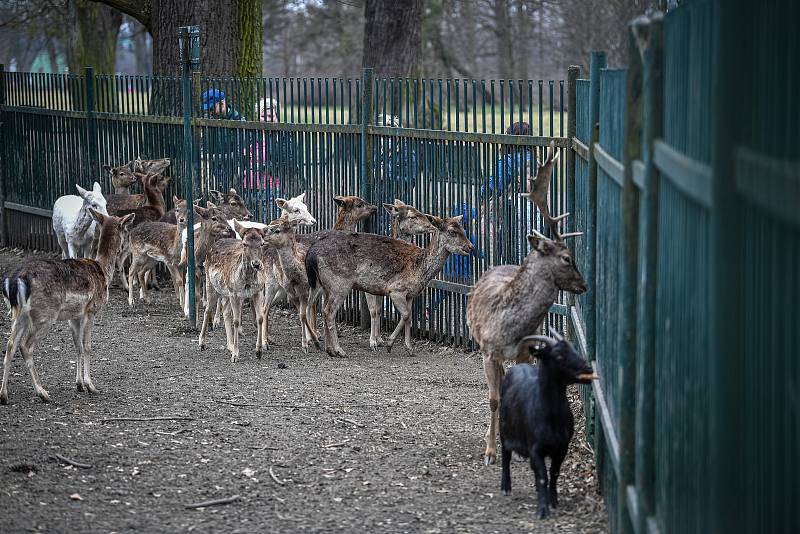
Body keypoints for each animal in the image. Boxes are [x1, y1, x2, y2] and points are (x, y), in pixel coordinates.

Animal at [0, 211, 134, 404]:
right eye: (125, 228)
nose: (127, 243)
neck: (103, 270)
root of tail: (15, 280)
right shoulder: (90, 310)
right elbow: (87, 345)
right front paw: (91, 385)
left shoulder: (74, 316)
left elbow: (77, 346)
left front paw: (79, 385)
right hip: (45, 315)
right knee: (25, 346)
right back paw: (42, 392)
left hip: (19, 315)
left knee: (10, 345)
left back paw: (4, 395)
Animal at [304, 215, 472, 360]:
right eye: (452, 231)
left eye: (463, 229)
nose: (470, 247)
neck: (419, 270)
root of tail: (311, 253)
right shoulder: (396, 289)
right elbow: (405, 315)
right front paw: (389, 344)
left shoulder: (410, 294)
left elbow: (409, 317)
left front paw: (409, 348)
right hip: (339, 283)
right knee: (328, 311)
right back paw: (339, 350)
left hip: (320, 284)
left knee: (315, 307)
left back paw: (328, 349)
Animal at [504, 328, 596, 520]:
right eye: (558, 356)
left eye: (574, 349)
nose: (588, 369)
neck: (551, 416)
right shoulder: (535, 448)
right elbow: (542, 476)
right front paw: (542, 509)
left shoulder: (562, 447)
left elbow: (553, 473)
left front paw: (552, 500)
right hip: (504, 431)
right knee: (505, 456)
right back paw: (506, 486)